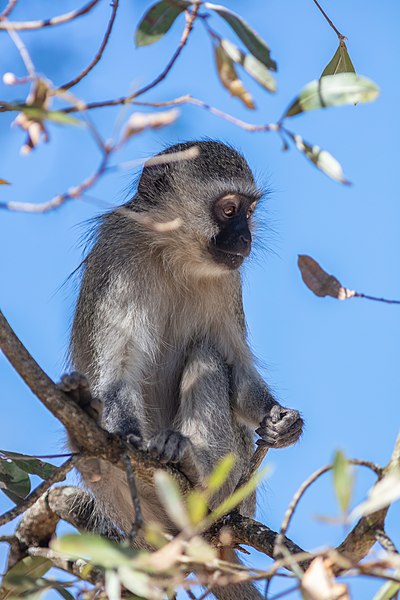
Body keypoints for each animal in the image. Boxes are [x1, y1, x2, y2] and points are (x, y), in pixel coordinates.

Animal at [63, 142, 304, 600]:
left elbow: (235, 366)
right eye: (229, 209)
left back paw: (196, 468)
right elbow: (119, 366)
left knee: (207, 356)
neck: (172, 251)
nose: (245, 238)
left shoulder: (229, 281)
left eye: (249, 210)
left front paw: (280, 420)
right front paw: (127, 435)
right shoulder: (117, 254)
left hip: (238, 487)